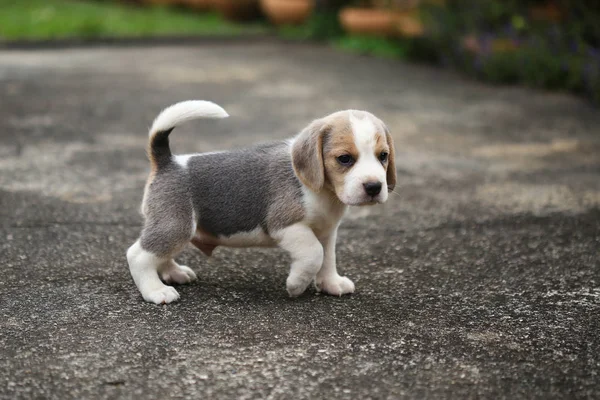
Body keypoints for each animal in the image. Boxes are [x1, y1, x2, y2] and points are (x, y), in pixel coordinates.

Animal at [126, 100, 394, 304]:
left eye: (383, 156)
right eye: (344, 159)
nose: (374, 187)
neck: (324, 192)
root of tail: (168, 161)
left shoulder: (327, 231)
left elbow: (327, 258)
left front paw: (331, 283)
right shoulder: (285, 226)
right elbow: (314, 254)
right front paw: (296, 284)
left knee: (160, 255)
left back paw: (173, 273)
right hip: (176, 226)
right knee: (138, 255)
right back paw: (155, 291)